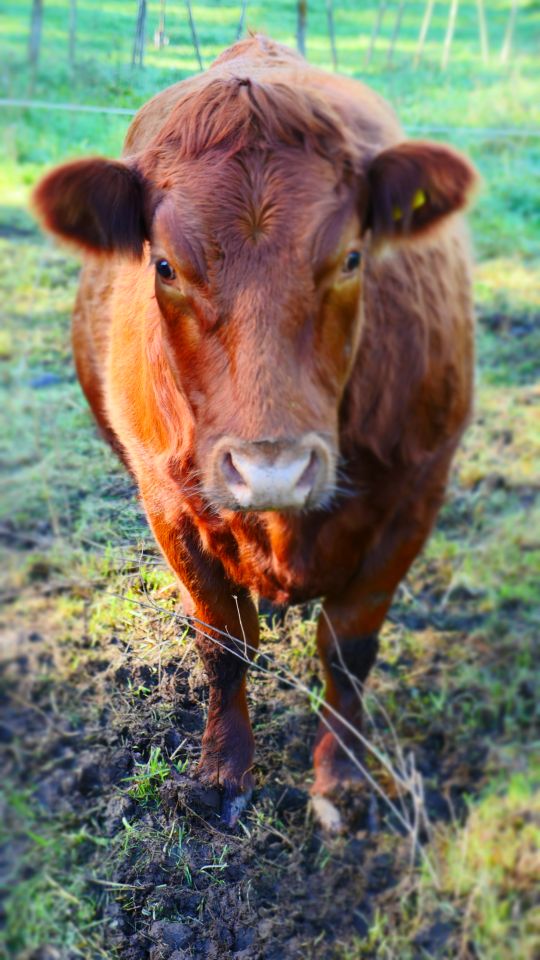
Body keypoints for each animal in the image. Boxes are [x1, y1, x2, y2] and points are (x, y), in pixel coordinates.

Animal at [32, 37, 476, 828]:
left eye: (352, 257)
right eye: (165, 265)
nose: (273, 469)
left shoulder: (415, 496)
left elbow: (349, 651)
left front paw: (340, 779)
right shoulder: (169, 506)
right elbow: (224, 643)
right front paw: (223, 771)